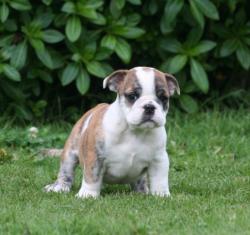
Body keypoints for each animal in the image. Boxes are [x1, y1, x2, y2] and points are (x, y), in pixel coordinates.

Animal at [44, 66, 179, 198]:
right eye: (132, 96)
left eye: (163, 98)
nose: (150, 107)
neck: (134, 131)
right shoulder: (96, 156)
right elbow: (92, 177)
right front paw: (88, 194)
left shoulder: (159, 160)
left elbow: (160, 180)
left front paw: (161, 195)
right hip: (70, 153)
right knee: (66, 172)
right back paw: (59, 187)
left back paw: (141, 190)